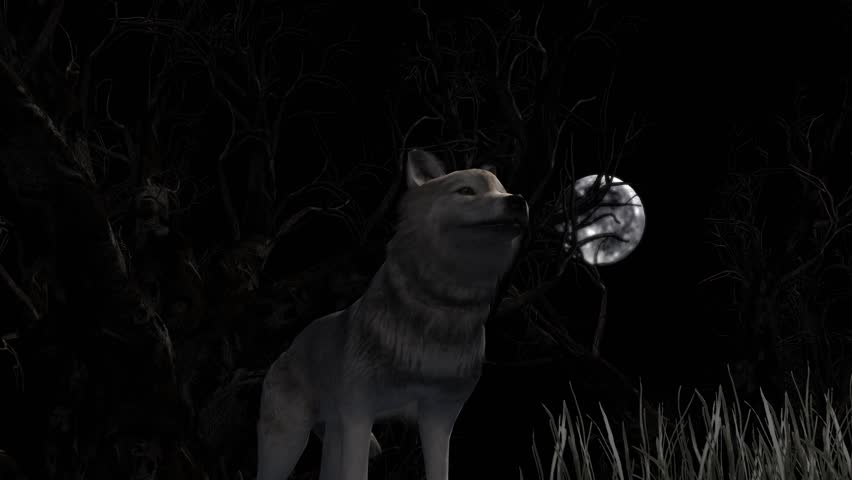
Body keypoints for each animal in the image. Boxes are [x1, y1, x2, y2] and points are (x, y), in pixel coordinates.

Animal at [257, 149, 528, 480]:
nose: (517, 200)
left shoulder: (439, 418)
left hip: (333, 434)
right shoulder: (359, 414)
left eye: (502, 190)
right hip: (287, 445)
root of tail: (290, 348)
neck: (439, 310)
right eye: (466, 191)